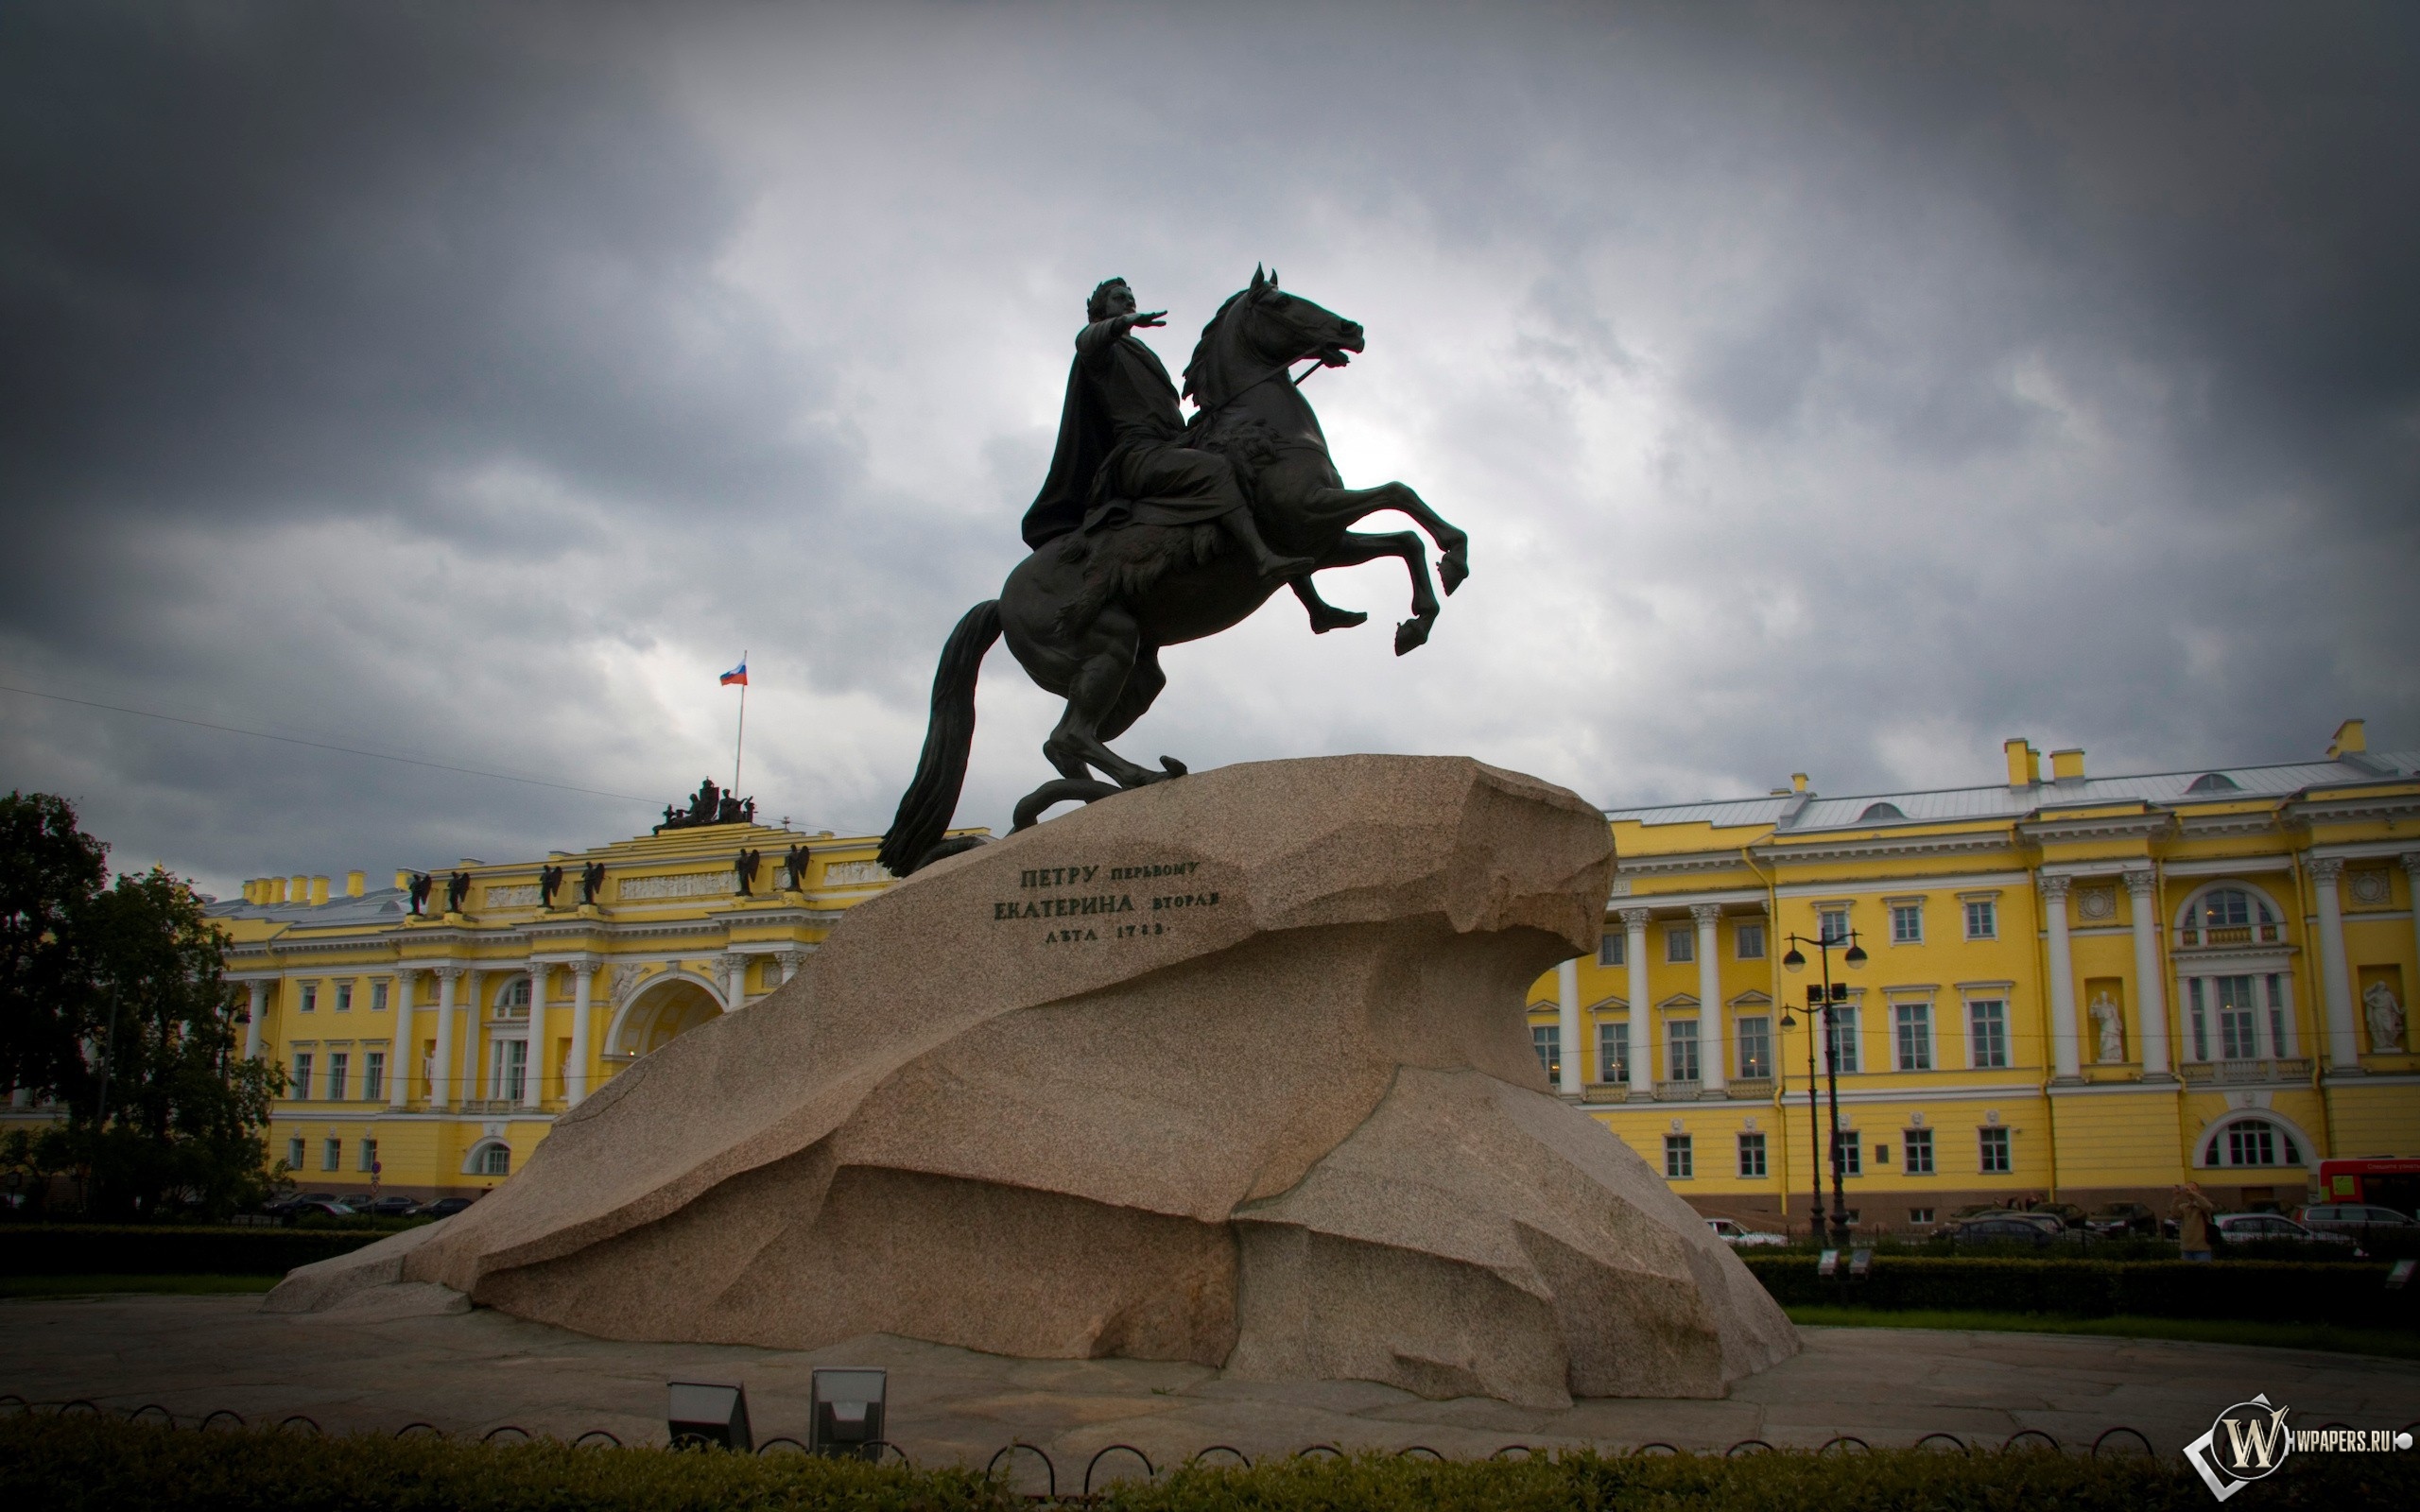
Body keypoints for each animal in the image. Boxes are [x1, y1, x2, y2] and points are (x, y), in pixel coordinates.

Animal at [880, 265, 1461, 866]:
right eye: (1280, 303)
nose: (1352, 329)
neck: (1261, 426)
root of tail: (1000, 601)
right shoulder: (1310, 513)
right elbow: (1400, 493)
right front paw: (1451, 564)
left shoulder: (1325, 540)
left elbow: (1403, 537)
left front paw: (1419, 616)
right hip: (1109, 646)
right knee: (1068, 736)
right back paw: (1141, 778)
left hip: (1138, 676)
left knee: (1068, 744)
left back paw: (1087, 797)